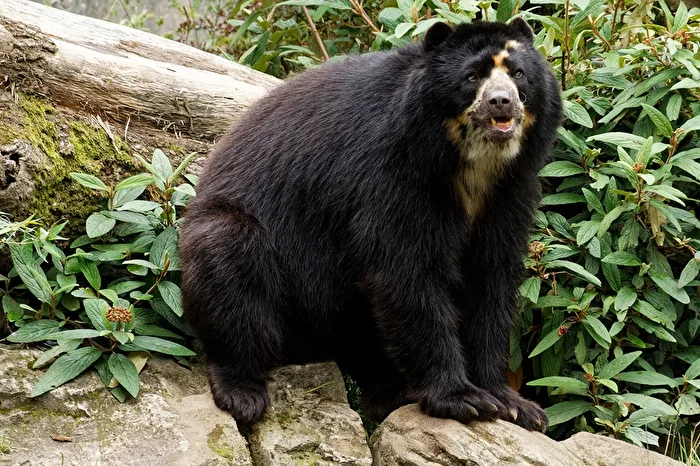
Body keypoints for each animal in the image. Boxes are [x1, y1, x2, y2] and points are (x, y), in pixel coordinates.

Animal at [180, 18, 562, 431]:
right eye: (472, 76)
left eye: (518, 73)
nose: (501, 102)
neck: (469, 163)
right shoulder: (391, 173)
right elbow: (403, 272)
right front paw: (463, 399)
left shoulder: (509, 192)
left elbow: (490, 279)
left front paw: (513, 404)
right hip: (244, 243)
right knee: (229, 264)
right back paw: (243, 391)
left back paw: (391, 392)